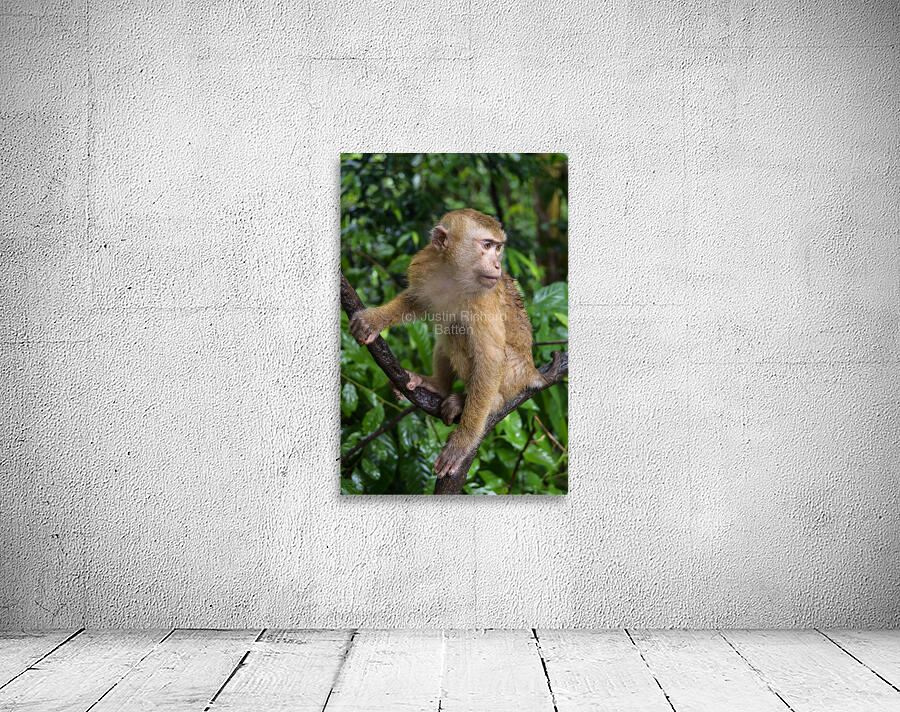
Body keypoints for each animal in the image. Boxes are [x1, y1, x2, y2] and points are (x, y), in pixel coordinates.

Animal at [349, 208, 550, 479]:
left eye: (498, 248)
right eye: (487, 245)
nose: (497, 264)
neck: (456, 275)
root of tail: (530, 369)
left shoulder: (484, 299)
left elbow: (491, 359)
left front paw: (462, 443)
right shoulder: (425, 264)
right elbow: (415, 300)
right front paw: (374, 320)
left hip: (513, 375)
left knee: (456, 333)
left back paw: (487, 402)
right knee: (446, 332)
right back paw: (438, 386)